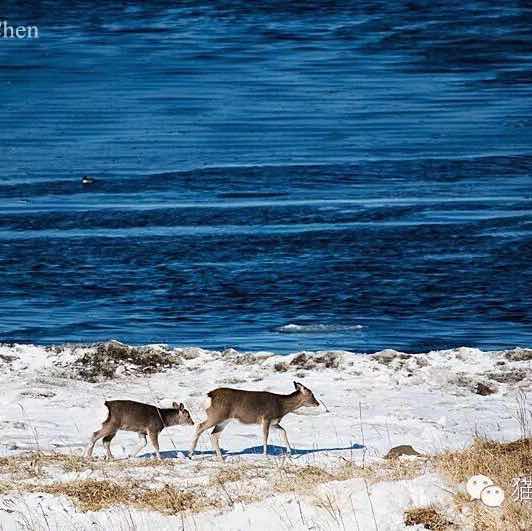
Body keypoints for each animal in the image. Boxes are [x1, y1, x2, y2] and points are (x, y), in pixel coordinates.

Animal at [189, 382, 318, 462]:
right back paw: (190, 455)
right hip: (216, 416)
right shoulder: (266, 418)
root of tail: (208, 396)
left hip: (223, 420)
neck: (281, 406)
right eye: (311, 394)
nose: (317, 403)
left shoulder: (274, 423)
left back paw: (220, 458)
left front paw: (290, 453)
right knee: (200, 427)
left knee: (213, 435)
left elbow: (284, 432)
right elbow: (265, 437)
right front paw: (265, 457)